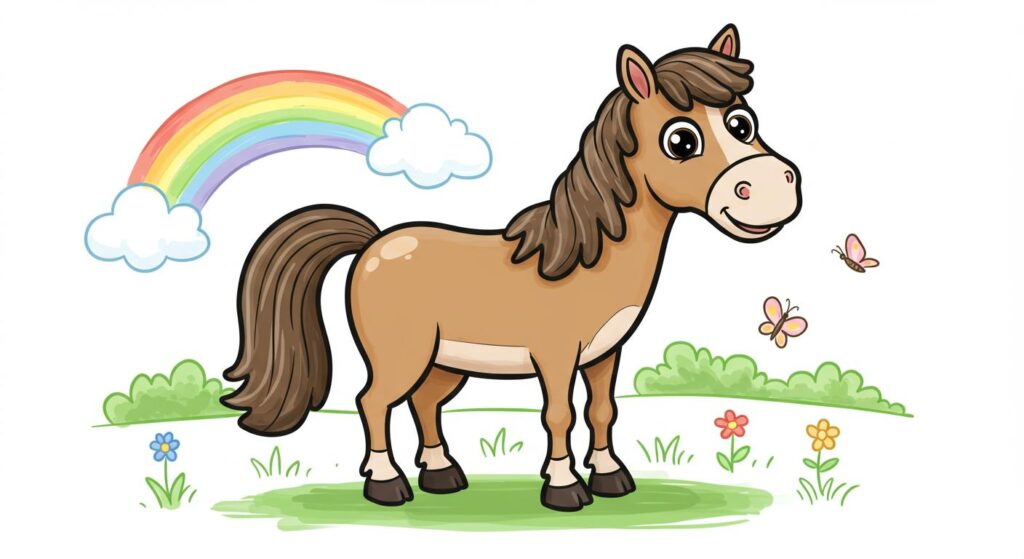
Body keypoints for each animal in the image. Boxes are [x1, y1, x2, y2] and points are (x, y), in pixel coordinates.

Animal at [222, 24, 802, 512]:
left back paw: (441, 475)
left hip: (443, 363)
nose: (770, 189)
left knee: (423, 404)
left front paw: (611, 478)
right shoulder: (555, 354)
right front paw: (565, 489)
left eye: (743, 122)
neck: (586, 257)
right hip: (402, 356)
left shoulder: (603, 354)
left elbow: (601, 410)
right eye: (681, 140)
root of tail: (374, 243)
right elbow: (558, 413)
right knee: (374, 401)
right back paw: (387, 485)